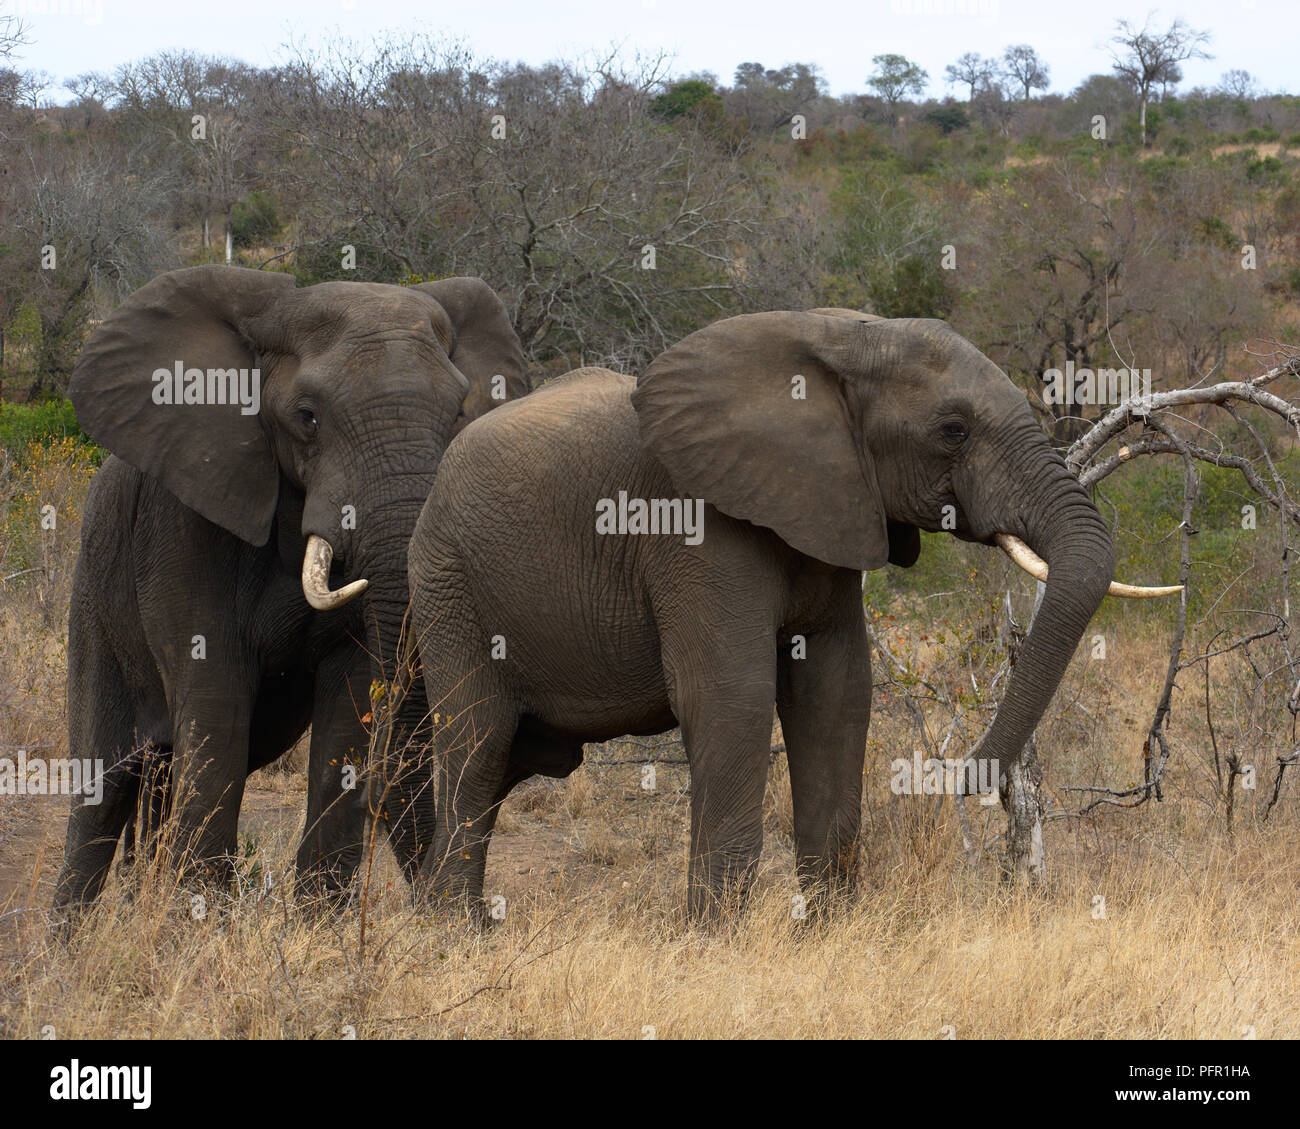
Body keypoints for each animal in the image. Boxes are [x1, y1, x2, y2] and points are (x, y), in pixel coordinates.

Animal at [50, 264, 527, 915]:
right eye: (307, 415)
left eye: (458, 412)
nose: (475, 919)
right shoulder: (183, 527)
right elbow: (216, 709)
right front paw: (197, 922)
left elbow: (345, 715)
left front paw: (316, 923)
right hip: (94, 596)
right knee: (104, 791)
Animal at [403, 306, 1170, 915]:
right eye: (952, 430)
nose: (950, 777)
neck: (841, 339)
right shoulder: (694, 526)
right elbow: (732, 695)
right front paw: (716, 945)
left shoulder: (832, 509)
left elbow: (836, 691)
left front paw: (829, 932)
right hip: (447, 583)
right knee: (478, 744)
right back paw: (456, 938)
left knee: (510, 758)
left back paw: (441, 920)